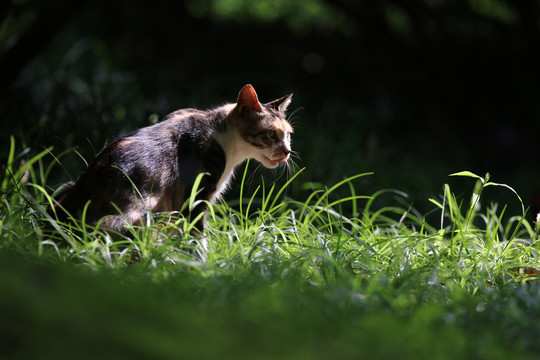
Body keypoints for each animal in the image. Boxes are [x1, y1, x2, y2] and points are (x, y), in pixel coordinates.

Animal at [49, 85, 296, 236]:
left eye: (288, 135)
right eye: (271, 134)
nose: (287, 152)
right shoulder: (193, 199)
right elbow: (196, 241)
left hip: (64, 188)